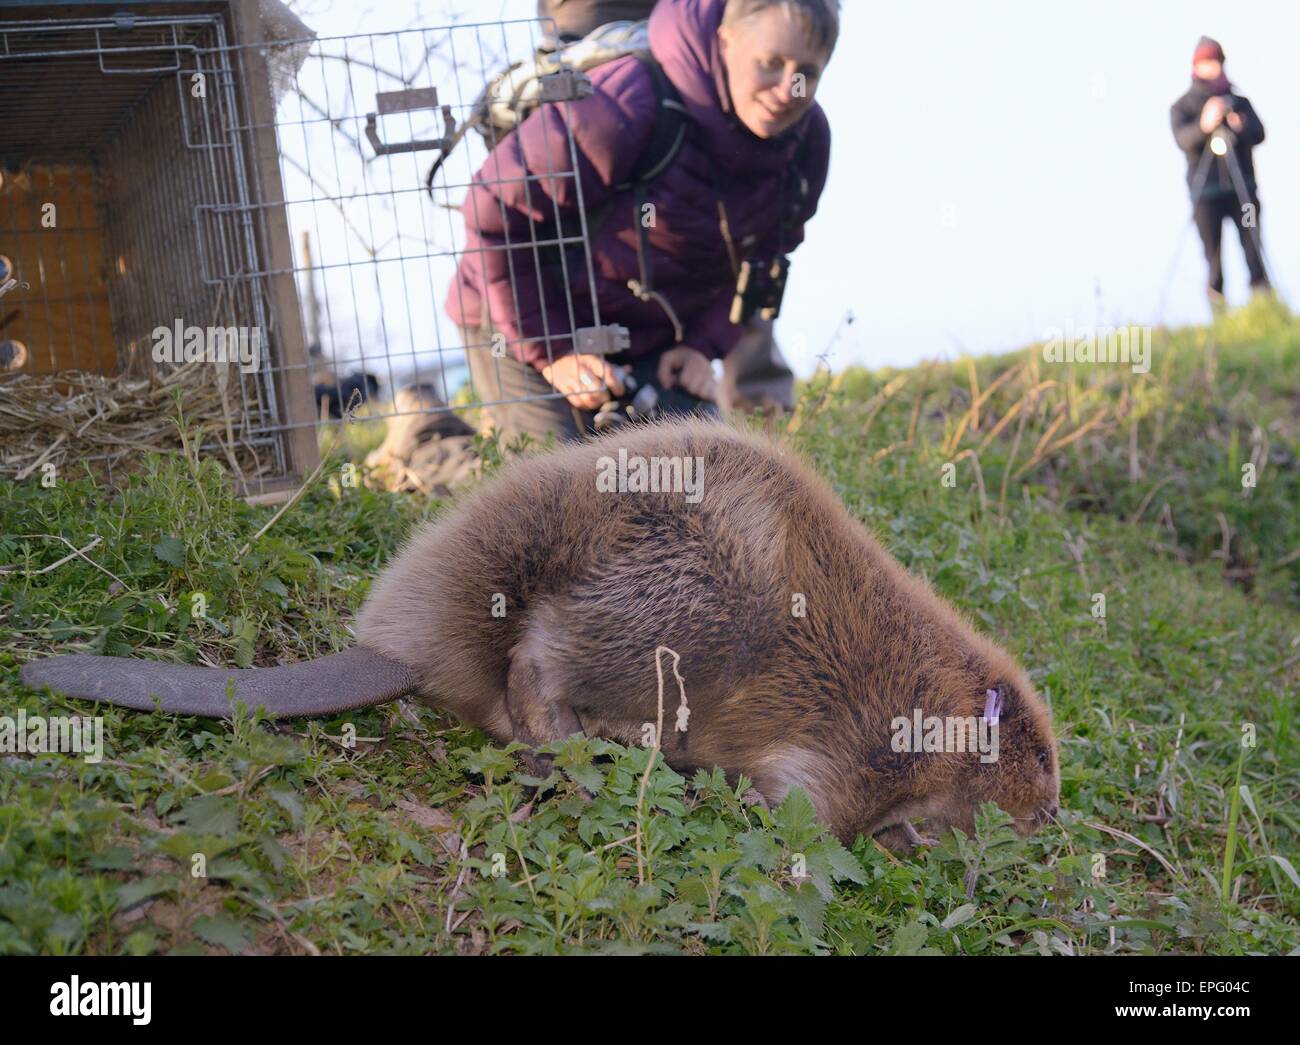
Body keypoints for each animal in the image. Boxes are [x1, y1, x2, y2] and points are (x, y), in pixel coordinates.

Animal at [17, 415, 1055, 847]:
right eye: (1041, 756)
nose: (1051, 820)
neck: (939, 699)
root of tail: (394, 649)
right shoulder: (854, 744)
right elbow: (805, 808)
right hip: (678, 607)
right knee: (536, 663)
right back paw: (585, 755)